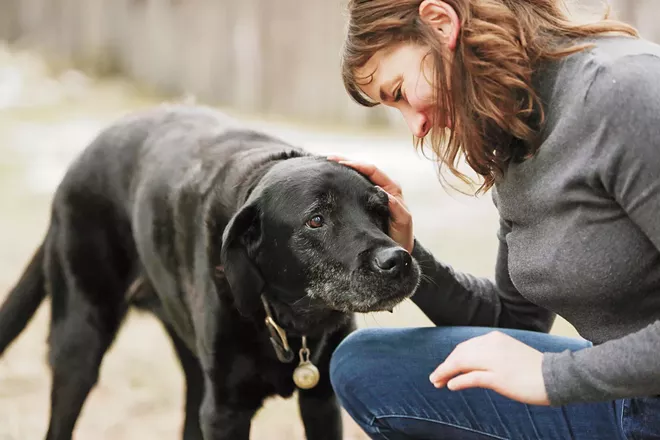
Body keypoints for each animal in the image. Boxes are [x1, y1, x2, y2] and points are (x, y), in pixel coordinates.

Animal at [0, 106, 422, 440]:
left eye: (380, 211)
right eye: (316, 220)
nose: (397, 260)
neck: (288, 317)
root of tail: (76, 163)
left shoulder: (321, 401)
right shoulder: (226, 412)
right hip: (80, 344)